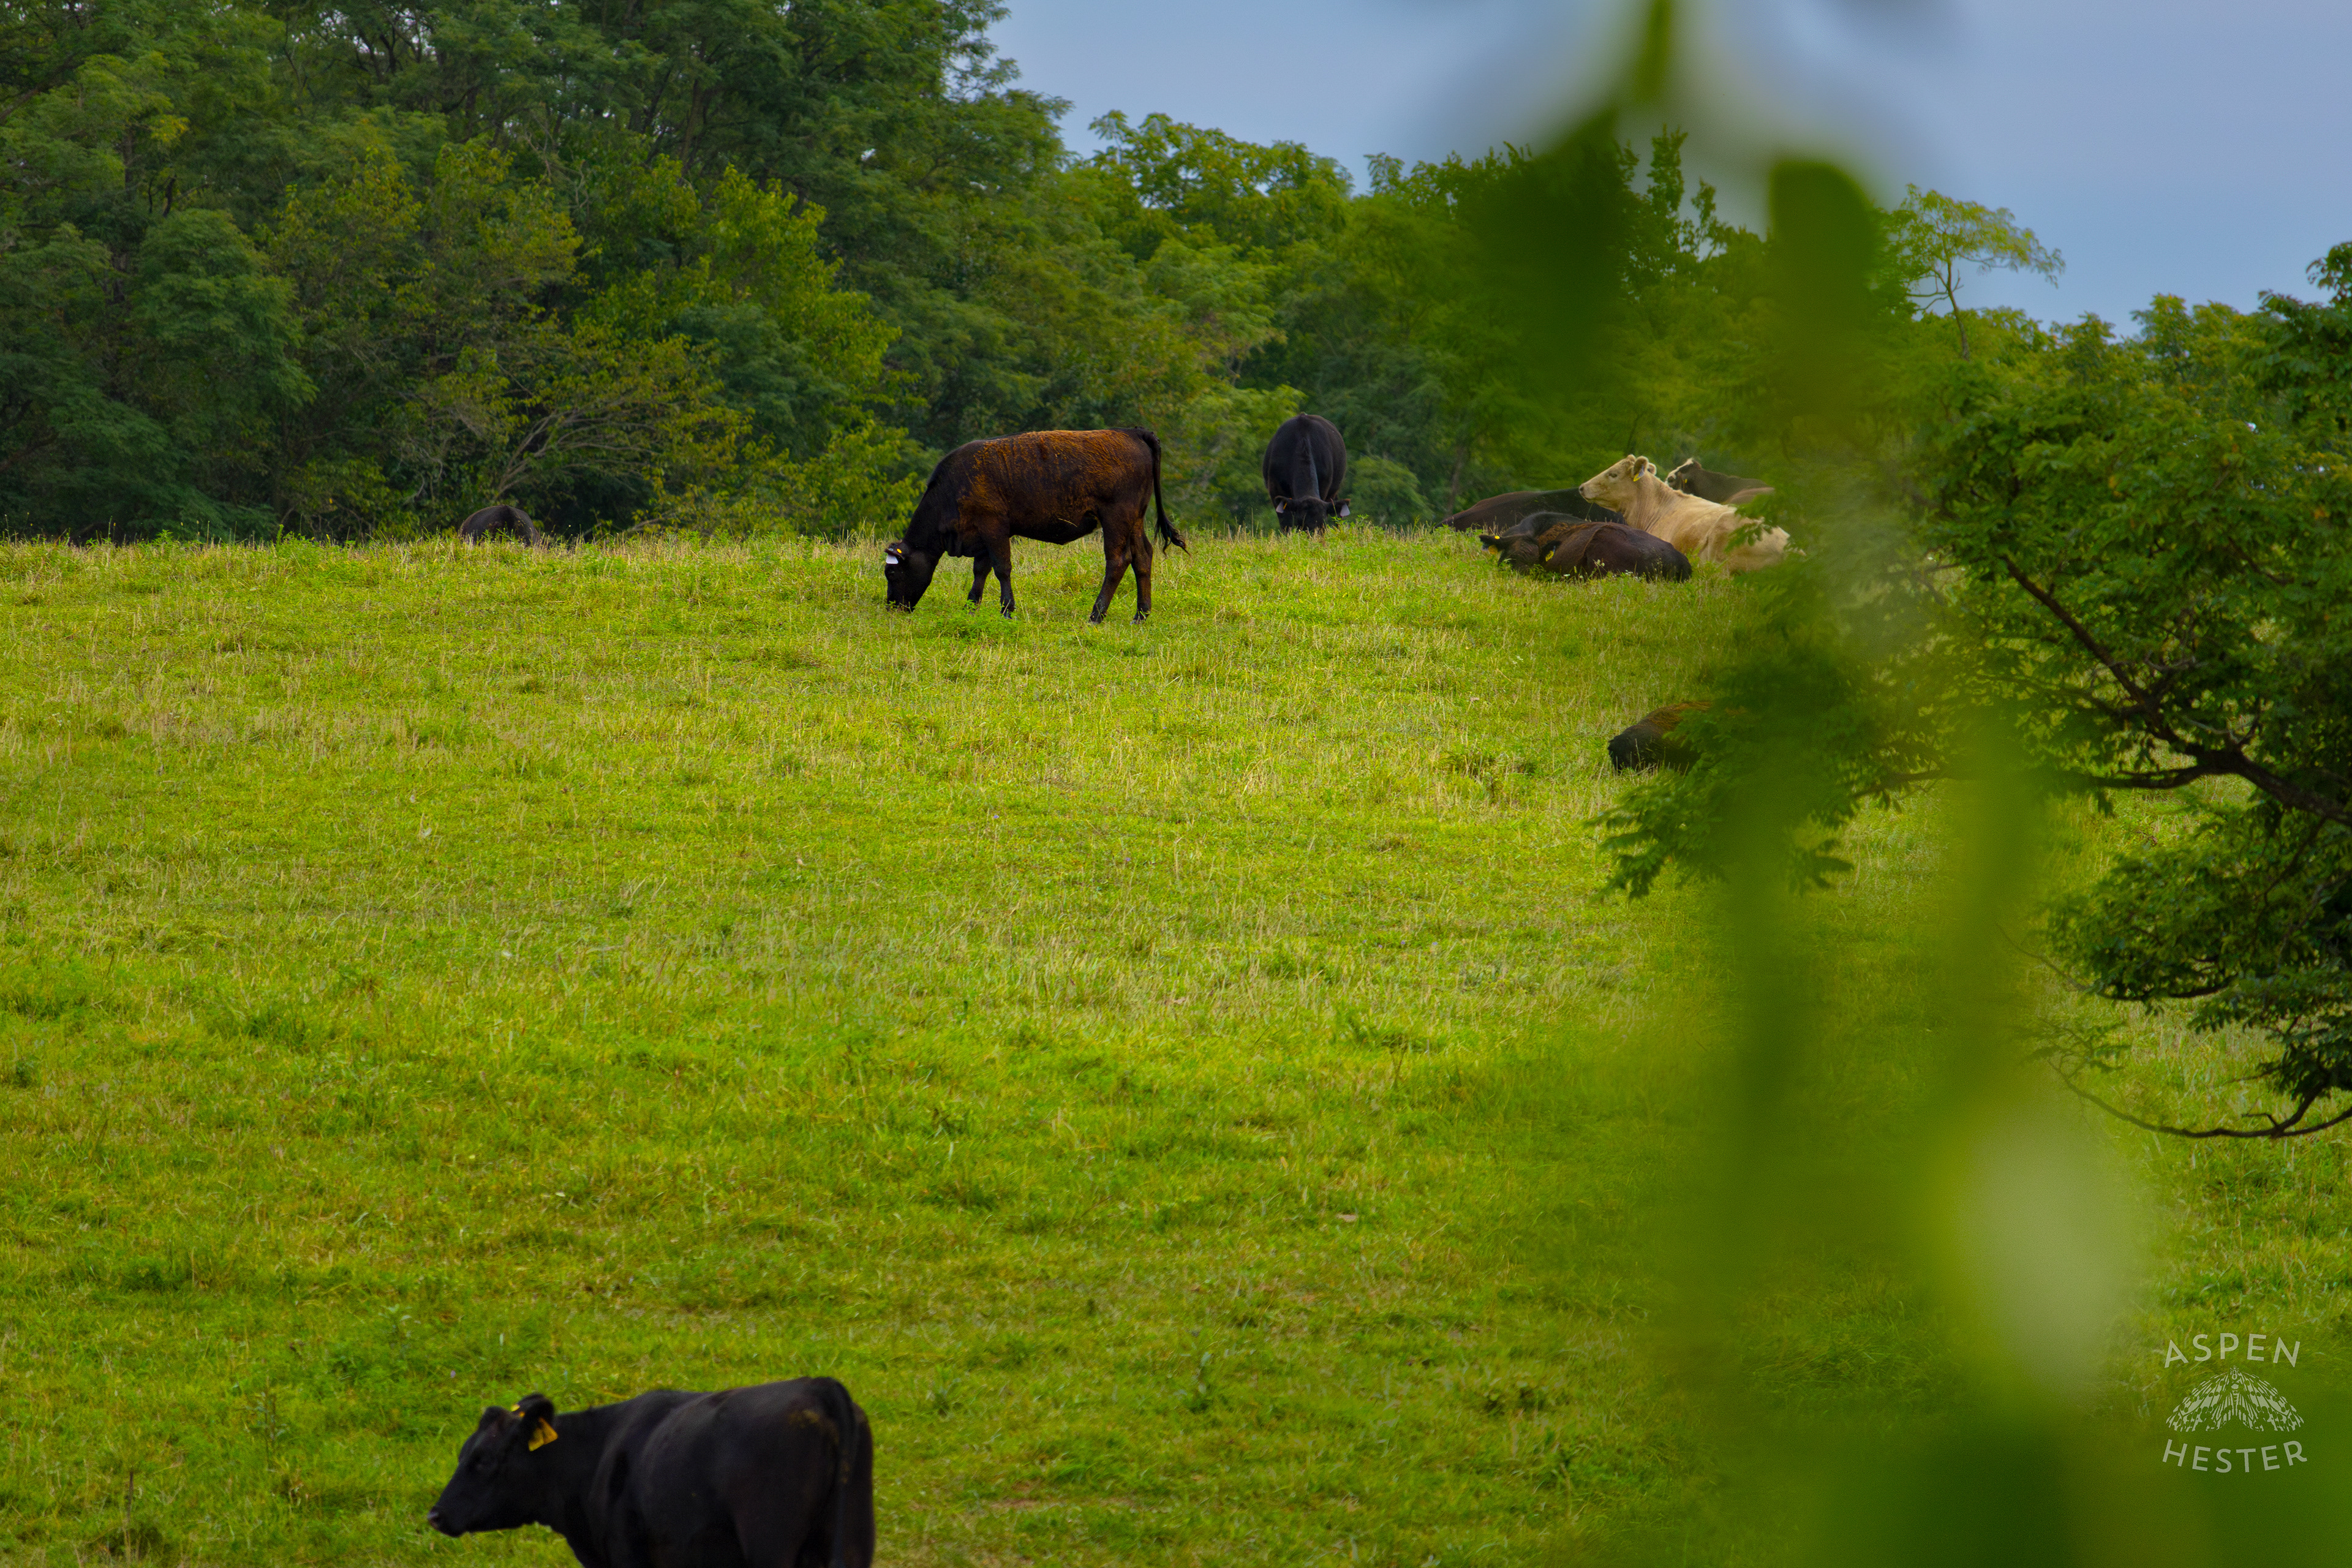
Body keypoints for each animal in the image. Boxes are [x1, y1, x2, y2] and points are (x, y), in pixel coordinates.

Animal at [428, 1379, 874, 1568]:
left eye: (483, 1459)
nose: (435, 1515)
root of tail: (818, 1387)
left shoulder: (628, 1555)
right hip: (853, 1536)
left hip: (771, 1544)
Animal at [883, 428, 1184, 623]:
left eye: (892, 574)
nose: (891, 607)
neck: (953, 486)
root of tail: (1132, 432)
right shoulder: (982, 537)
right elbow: (981, 571)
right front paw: (970, 608)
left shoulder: (994, 527)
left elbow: (1002, 568)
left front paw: (1007, 610)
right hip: (1135, 520)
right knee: (1143, 557)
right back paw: (1141, 615)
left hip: (1116, 519)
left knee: (1118, 561)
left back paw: (1096, 615)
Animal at [1261, 414, 1349, 533]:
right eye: (1300, 520)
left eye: (1323, 521)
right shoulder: (1275, 490)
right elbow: (1286, 524)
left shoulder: (1324, 488)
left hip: (1333, 491)